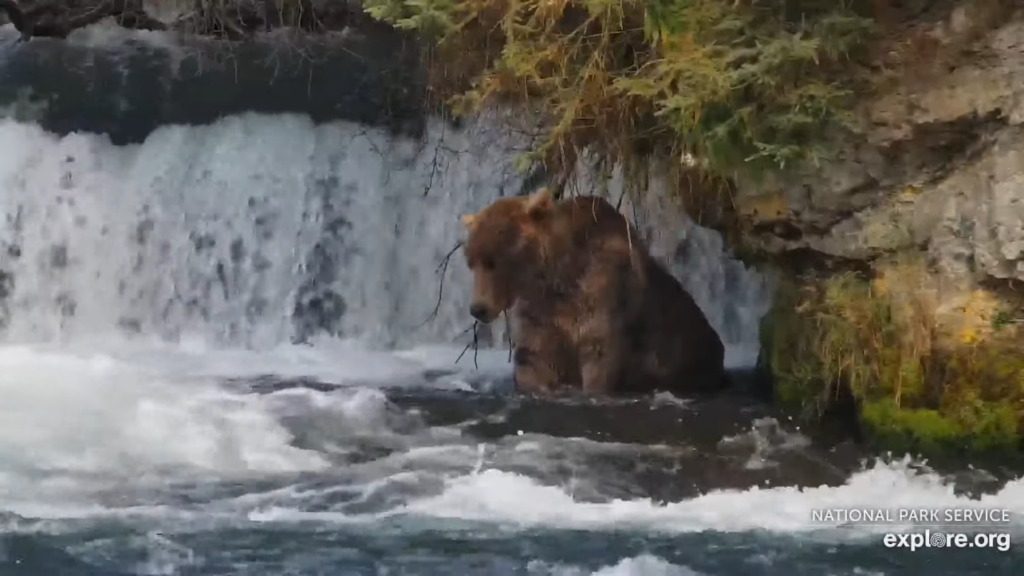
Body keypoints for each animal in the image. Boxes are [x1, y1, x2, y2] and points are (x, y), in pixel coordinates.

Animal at [460, 186, 724, 397]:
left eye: (492, 261)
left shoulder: (602, 295)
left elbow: (599, 357)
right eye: (471, 262)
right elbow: (534, 359)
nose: (477, 308)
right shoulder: (540, 316)